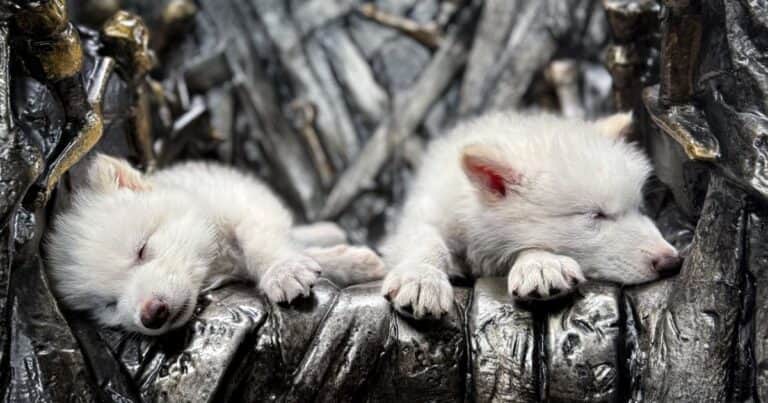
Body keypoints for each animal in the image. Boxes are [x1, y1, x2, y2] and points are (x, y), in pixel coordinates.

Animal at [46, 155, 384, 335]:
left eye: (142, 250)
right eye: (109, 305)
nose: (151, 314)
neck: (214, 261)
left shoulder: (244, 204)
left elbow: (261, 242)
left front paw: (283, 270)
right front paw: (347, 262)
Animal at [381, 111, 680, 319]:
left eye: (638, 208)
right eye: (596, 215)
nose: (672, 262)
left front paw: (541, 264)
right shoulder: (426, 212)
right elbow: (426, 240)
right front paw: (421, 278)